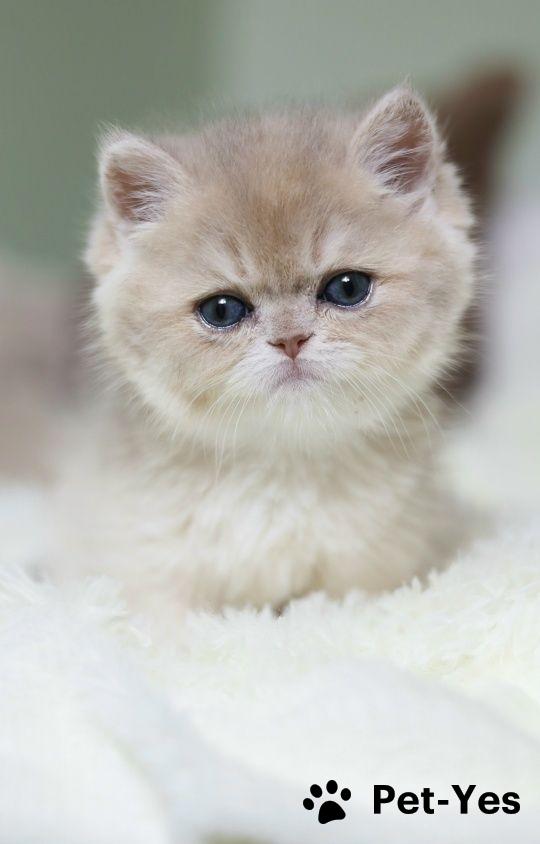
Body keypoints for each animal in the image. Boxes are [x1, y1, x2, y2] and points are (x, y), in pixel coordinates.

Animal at [53, 86, 475, 614]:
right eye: (222, 310)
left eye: (348, 288)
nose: (290, 340)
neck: (282, 468)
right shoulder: (141, 565)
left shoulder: (378, 568)